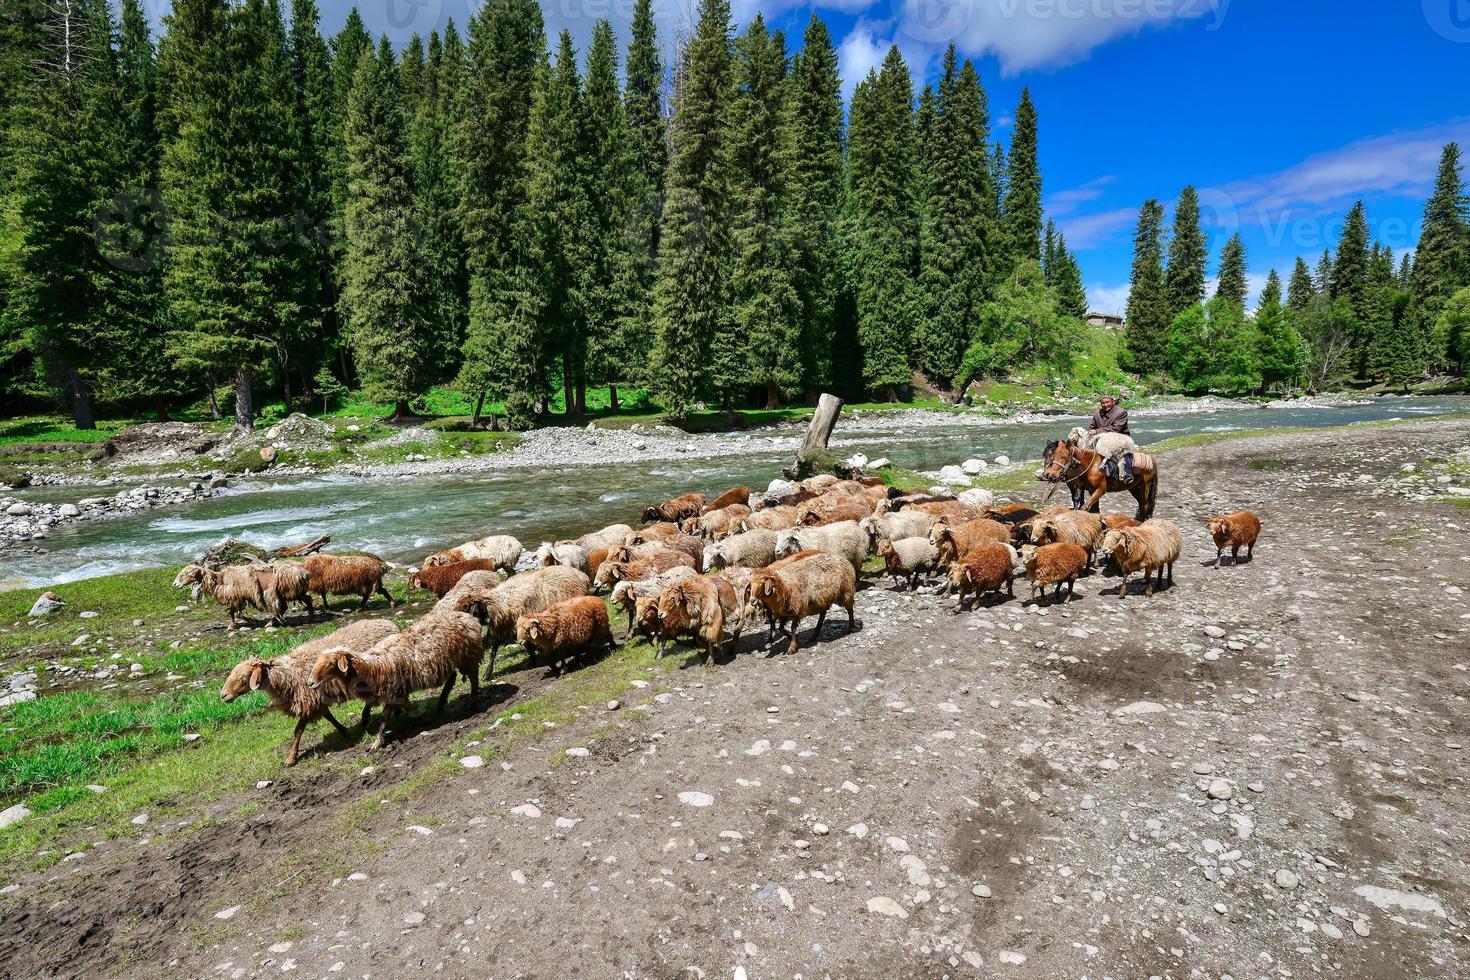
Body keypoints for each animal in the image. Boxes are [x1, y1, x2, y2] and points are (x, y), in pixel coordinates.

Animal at [217, 620, 396, 764]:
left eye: (243, 677)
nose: (223, 695)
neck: (287, 675)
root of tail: (389, 623)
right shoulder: (317, 699)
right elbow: (328, 716)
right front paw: (344, 731)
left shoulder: (307, 700)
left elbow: (298, 731)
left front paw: (291, 758)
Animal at [308, 614, 482, 752]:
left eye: (330, 663)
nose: (310, 683)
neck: (371, 667)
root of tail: (469, 618)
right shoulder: (396, 691)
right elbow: (402, 706)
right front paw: (421, 713)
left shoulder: (392, 691)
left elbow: (385, 717)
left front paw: (377, 742)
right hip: (450, 662)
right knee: (452, 678)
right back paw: (441, 704)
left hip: (467, 657)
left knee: (473, 678)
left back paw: (472, 701)